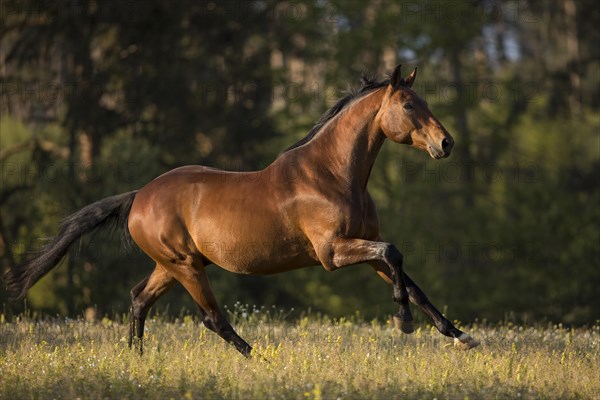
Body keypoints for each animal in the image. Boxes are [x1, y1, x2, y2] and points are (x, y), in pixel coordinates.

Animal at [4, 65, 480, 356]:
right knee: (212, 317)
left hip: (173, 265)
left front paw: (460, 335)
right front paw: (404, 323)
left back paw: (136, 361)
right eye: (408, 105)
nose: (446, 143)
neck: (332, 174)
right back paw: (262, 359)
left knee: (139, 299)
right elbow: (395, 256)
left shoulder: (364, 248)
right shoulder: (333, 253)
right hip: (185, 266)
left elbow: (409, 279)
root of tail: (139, 196)